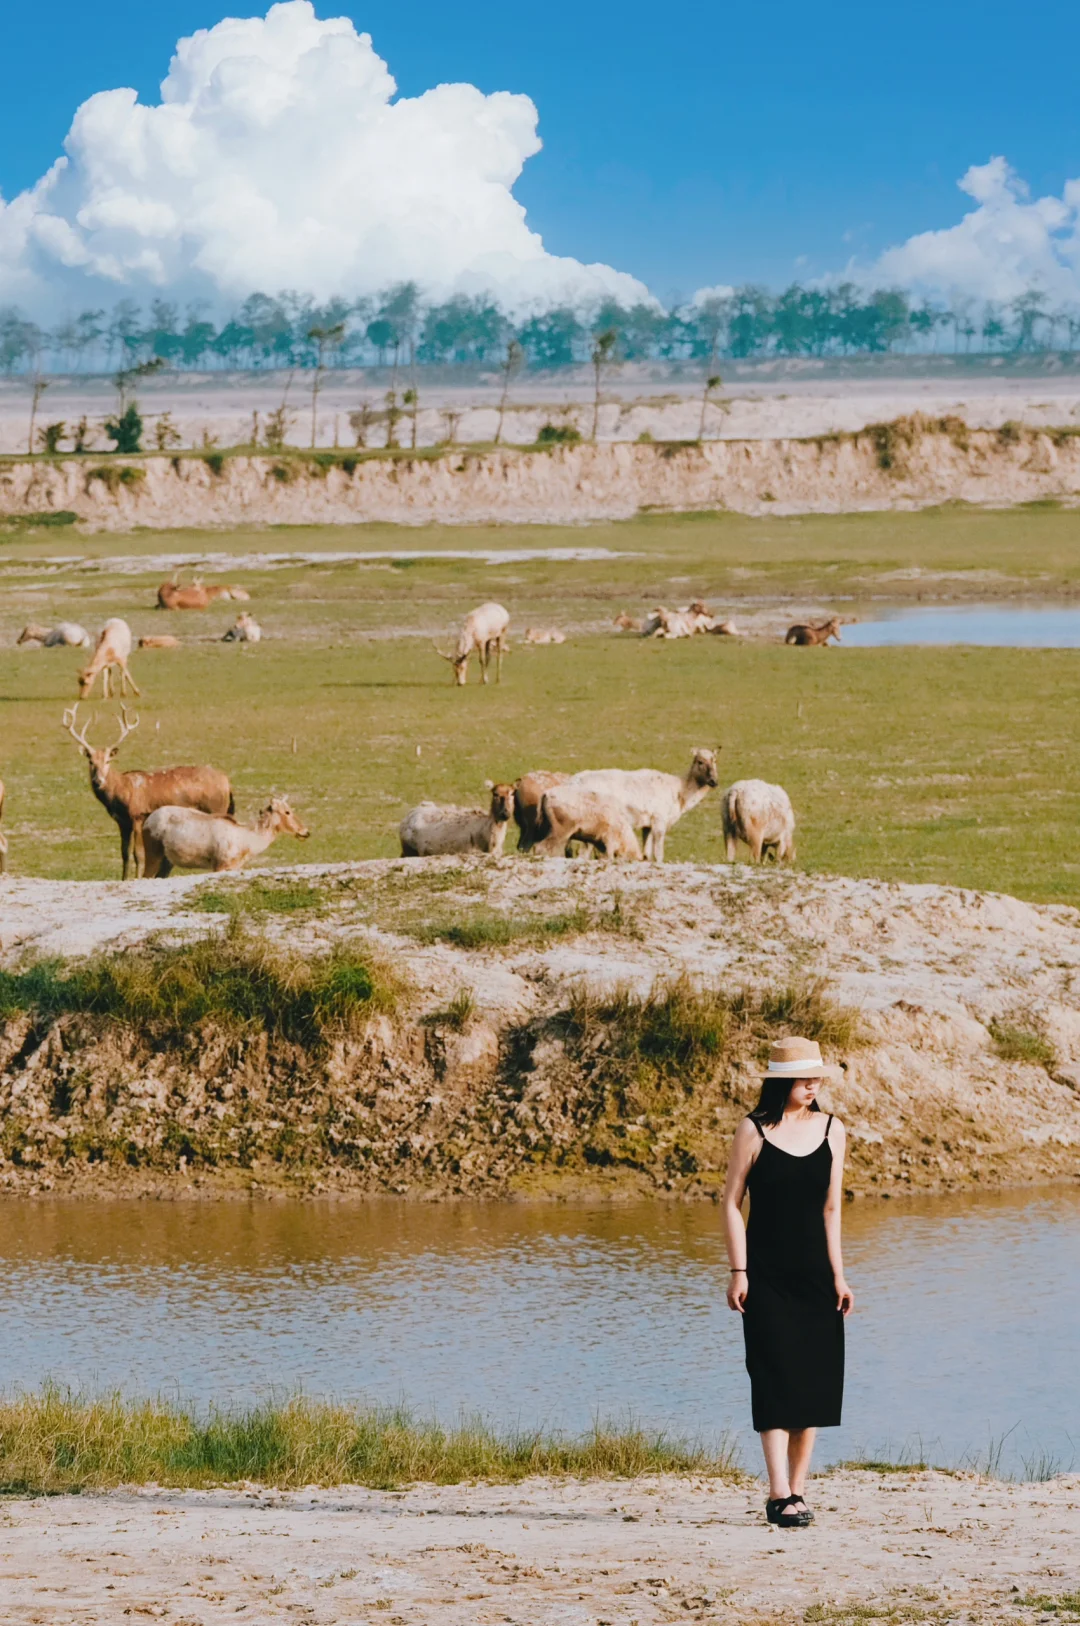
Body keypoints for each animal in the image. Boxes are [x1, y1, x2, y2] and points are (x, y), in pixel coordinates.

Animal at [63, 699, 234, 878]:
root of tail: (227, 782)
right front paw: (124, 879)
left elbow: (138, 854)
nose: (98, 780)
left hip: (217, 807)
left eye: (107, 761)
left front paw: (137, 878)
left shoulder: (139, 815)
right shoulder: (122, 822)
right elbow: (124, 853)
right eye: (91, 761)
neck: (122, 792)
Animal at [141, 796, 310, 878]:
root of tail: (148, 820)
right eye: (287, 812)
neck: (246, 837)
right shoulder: (220, 866)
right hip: (153, 856)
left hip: (167, 861)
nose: (305, 831)